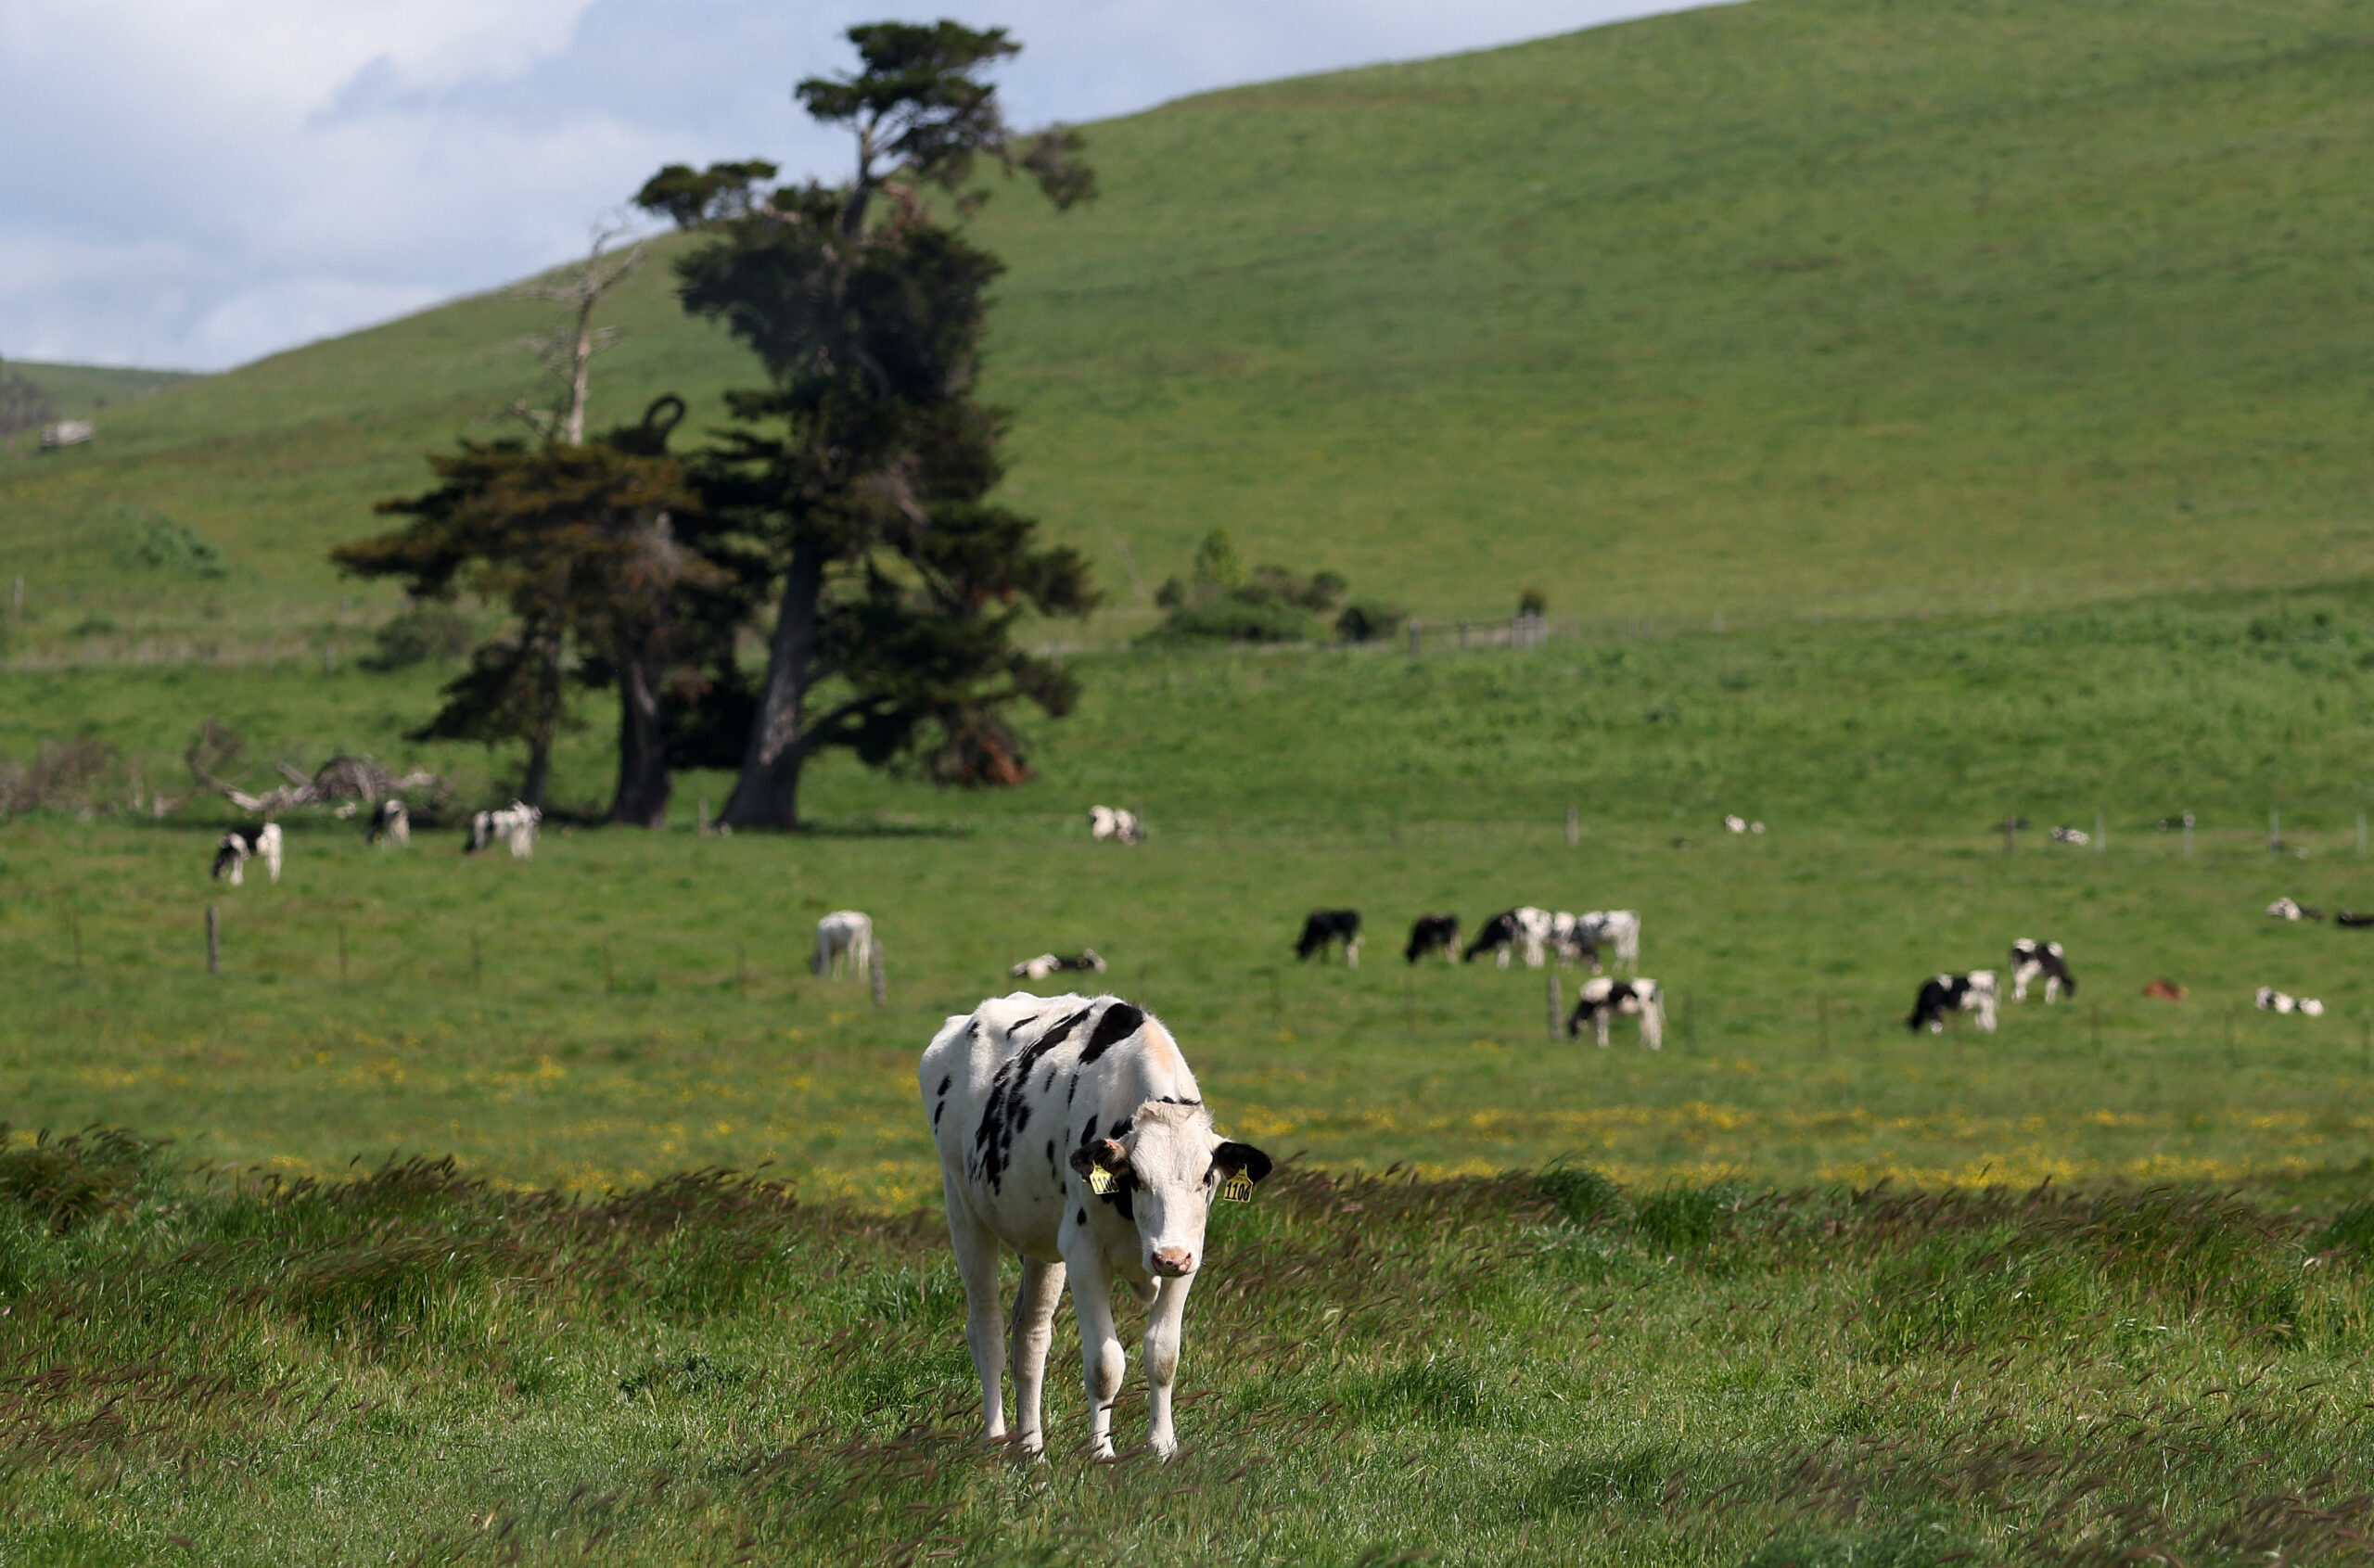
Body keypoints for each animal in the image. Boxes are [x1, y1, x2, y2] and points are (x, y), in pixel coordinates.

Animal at [916, 991, 1272, 1451]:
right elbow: (1105, 1365)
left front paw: (1162, 1447)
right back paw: (995, 1441)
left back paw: (1031, 1448)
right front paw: (1101, 1452)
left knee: (1030, 1336)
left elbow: (1163, 1354)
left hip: (1042, 1244)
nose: (1168, 1258)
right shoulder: (1084, 1256)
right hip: (963, 1210)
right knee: (987, 1328)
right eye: (1137, 1178)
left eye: (1207, 1179)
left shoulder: (1189, 1256)